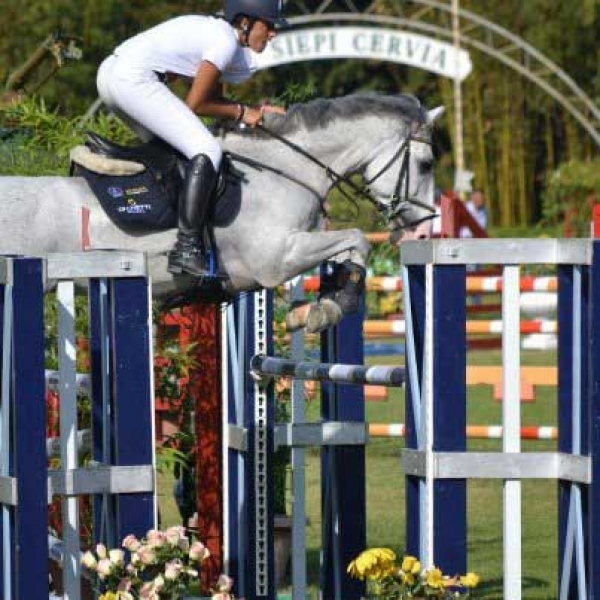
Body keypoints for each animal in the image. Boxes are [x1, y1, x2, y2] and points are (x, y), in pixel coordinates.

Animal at [0, 95, 440, 332]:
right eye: (427, 164)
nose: (425, 232)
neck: (286, 168)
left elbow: (349, 251)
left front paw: (316, 309)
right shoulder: (276, 259)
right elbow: (358, 239)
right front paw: (326, 311)